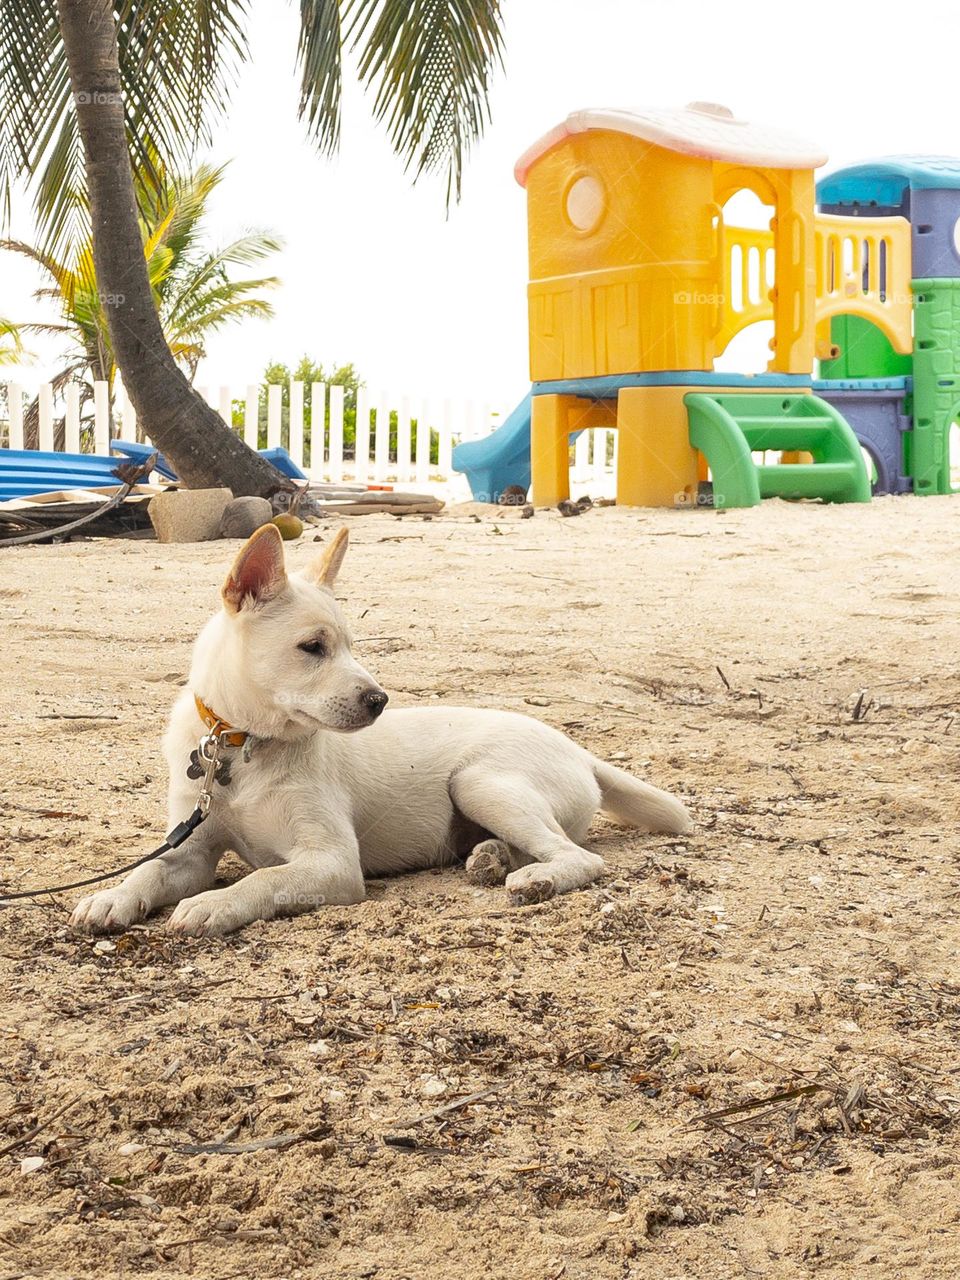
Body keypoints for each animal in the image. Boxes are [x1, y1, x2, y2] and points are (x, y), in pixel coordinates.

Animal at [73, 524, 691, 936]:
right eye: (313, 647)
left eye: (352, 645)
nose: (380, 701)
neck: (242, 748)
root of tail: (580, 751)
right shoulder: (191, 852)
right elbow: (150, 870)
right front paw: (113, 897)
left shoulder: (331, 862)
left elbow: (261, 881)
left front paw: (214, 905)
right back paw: (491, 858)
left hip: (479, 781)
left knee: (582, 858)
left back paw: (532, 880)